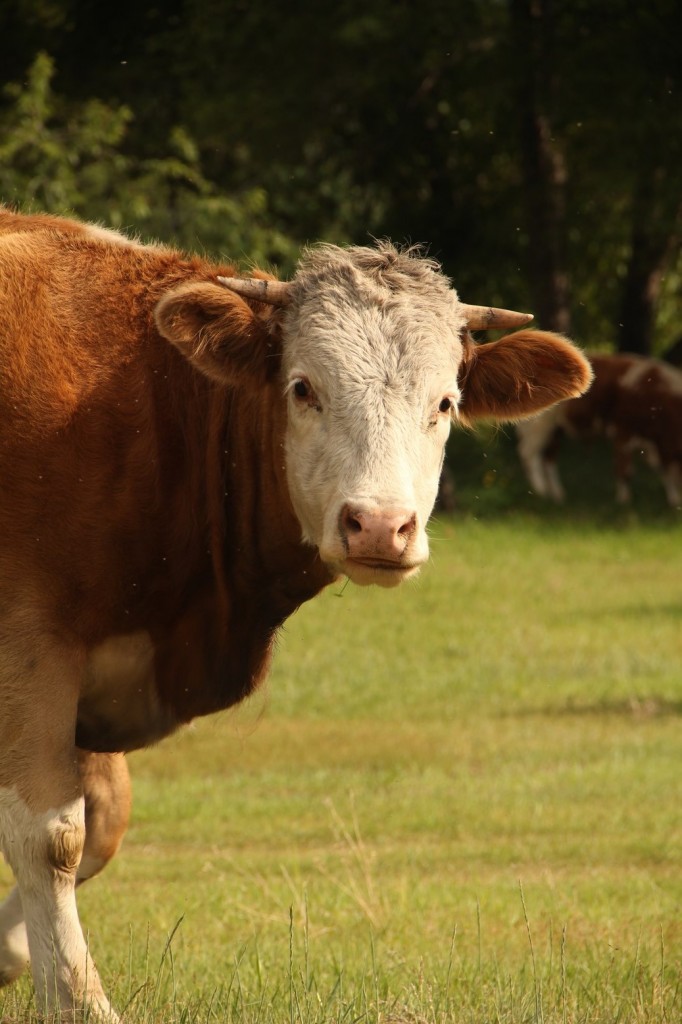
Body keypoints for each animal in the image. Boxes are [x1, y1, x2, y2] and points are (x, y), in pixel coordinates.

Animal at [0, 207, 589, 1015]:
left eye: (445, 403)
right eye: (304, 388)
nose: (379, 525)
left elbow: (103, 821)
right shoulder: (33, 642)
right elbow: (50, 837)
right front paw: (77, 1003)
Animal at [516, 352, 679, 507]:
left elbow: (665, 470)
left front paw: (673, 499)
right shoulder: (623, 432)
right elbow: (625, 470)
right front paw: (624, 500)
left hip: (554, 430)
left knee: (548, 459)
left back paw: (557, 494)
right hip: (539, 428)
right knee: (530, 454)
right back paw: (541, 491)